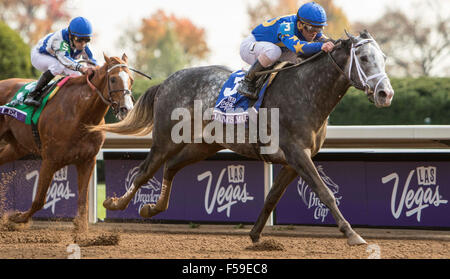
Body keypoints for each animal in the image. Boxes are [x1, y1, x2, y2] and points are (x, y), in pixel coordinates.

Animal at [0, 53, 134, 231]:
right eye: (112, 79)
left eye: (131, 79)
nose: (127, 109)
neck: (80, 114)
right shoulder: (50, 160)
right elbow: (39, 200)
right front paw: (17, 217)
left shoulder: (87, 161)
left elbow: (83, 201)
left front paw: (82, 232)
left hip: (17, 147)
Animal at [92, 30, 394, 245]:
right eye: (364, 59)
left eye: (383, 58)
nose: (386, 94)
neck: (306, 92)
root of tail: (166, 81)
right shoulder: (297, 153)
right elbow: (325, 192)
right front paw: (352, 234)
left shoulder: (293, 160)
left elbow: (272, 196)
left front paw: (255, 234)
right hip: (166, 139)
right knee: (145, 171)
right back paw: (116, 203)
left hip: (203, 145)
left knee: (171, 167)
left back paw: (152, 208)